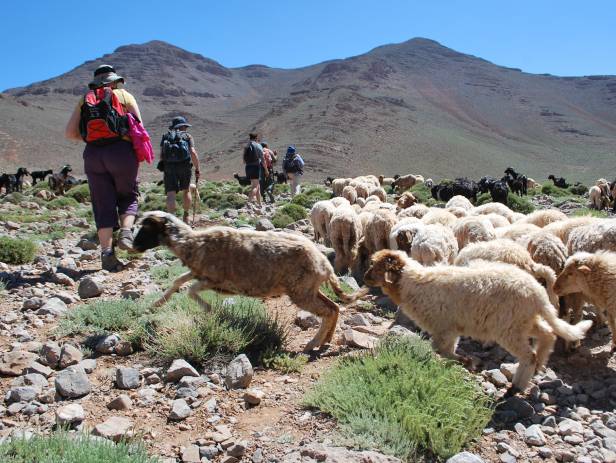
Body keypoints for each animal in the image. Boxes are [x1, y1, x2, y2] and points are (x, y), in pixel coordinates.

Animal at [134, 213, 366, 352]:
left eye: (147, 228)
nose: (134, 246)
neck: (192, 243)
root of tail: (325, 265)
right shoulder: (198, 273)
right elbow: (177, 281)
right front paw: (155, 304)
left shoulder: (215, 280)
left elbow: (190, 291)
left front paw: (211, 310)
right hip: (309, 288)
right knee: (334, 308)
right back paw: (326, 340)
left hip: (301, 292)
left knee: (327, 311)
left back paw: (312, 344)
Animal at [366, 250, 592, 396]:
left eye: (375, 266)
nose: (365, 278)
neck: (411, 283)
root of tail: (538, 293)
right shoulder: (450, 329)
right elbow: (445, 350)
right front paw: (465, 361)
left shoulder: (443, 327)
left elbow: (441, 350)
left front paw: (468, 362)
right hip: (524, 322)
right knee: (548, 334)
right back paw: (539, 365)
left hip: (509, 328)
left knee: (529, 355)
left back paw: (517, 386)